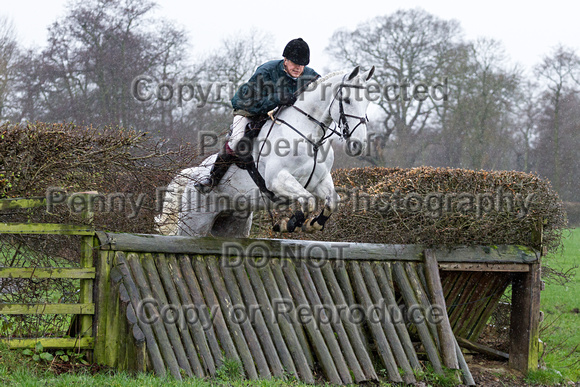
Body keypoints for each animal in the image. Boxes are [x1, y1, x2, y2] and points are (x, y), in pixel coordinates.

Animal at [157, 65, 376, 238]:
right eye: (347, 100)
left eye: (367, 102)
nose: (358, 144)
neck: (310, 137)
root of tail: (193, 174)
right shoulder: (277, 180)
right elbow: (308, 200)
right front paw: (289, 223)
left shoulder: (319, 180)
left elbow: (332, 201)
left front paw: (314, 224)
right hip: (194, 224)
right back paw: (207, 183)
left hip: (233, 225)